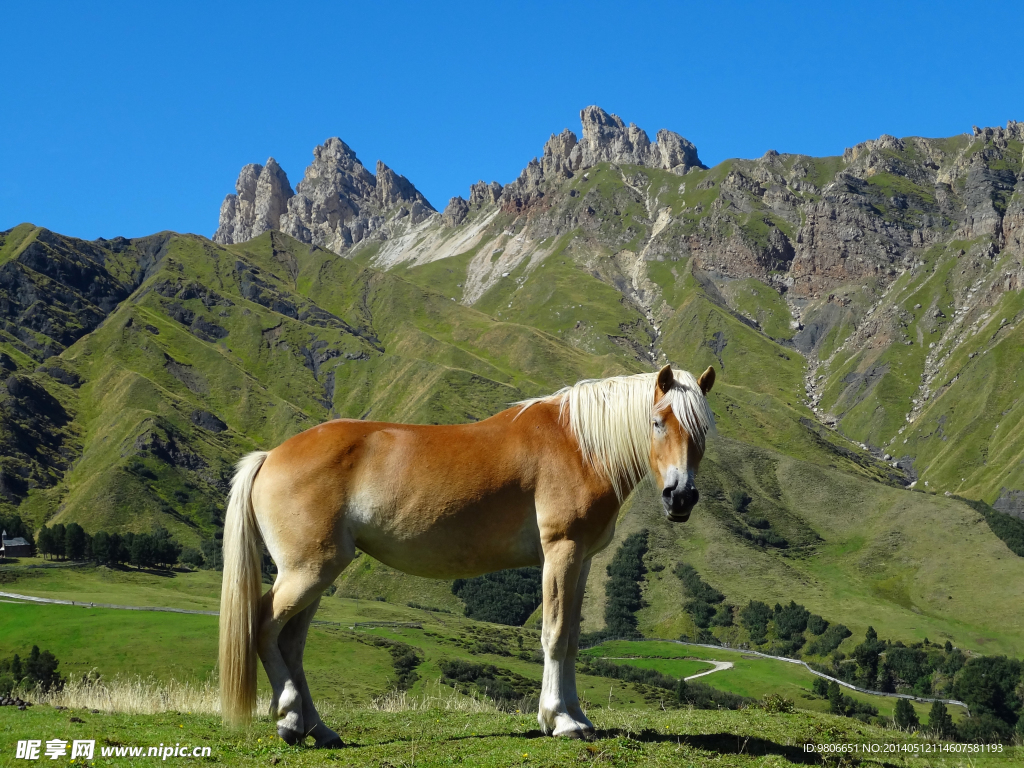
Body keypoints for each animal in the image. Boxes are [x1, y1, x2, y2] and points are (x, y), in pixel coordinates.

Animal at [218, 364, 712, 749]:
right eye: (658, 421)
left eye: (703, 429)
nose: (681, 497)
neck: (578, 444)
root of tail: (270, 456)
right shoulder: (562, 552)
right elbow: (553, 636)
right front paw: (560, 720)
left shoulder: (583, 560)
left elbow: (571, 639)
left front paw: (579, 717)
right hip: (307, 572)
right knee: (265, 624)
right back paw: (288, 717)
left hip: (317, 575)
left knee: (292, 643)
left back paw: (317, 729)